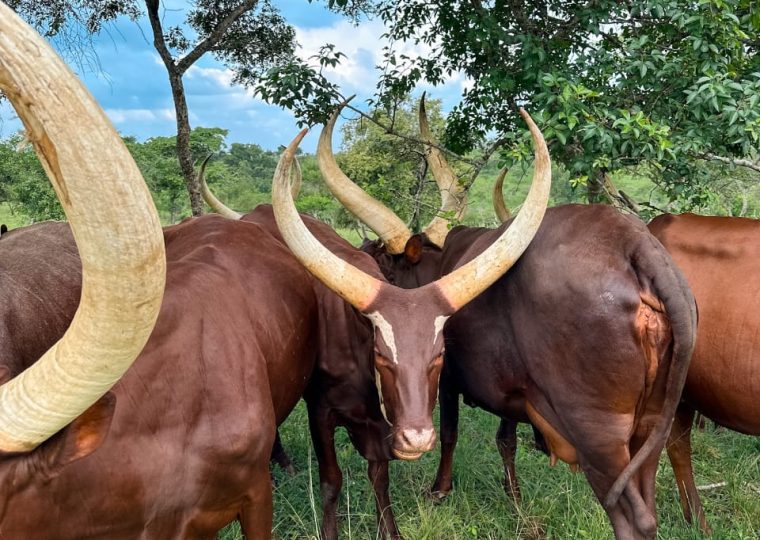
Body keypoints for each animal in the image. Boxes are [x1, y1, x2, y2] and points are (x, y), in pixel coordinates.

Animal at [200, 103, 552, 539]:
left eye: (438, 356)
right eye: (383, 355)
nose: (417, 438)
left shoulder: (380, 426)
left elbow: (379, 475)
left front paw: (391, 529)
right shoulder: (320, 412)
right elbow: (331, 480)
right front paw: (329, 531)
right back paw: (282, 462)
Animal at [318, 99, 697, 540]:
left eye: (385, 267)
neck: (439, 264)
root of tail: (636, 246)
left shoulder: (446, 376)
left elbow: (449, 432)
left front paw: (440, 488)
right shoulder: (512, 392)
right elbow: (505, 439)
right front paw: (513, 496)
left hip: (599, 435)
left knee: (634, 519)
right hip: (650, 427)